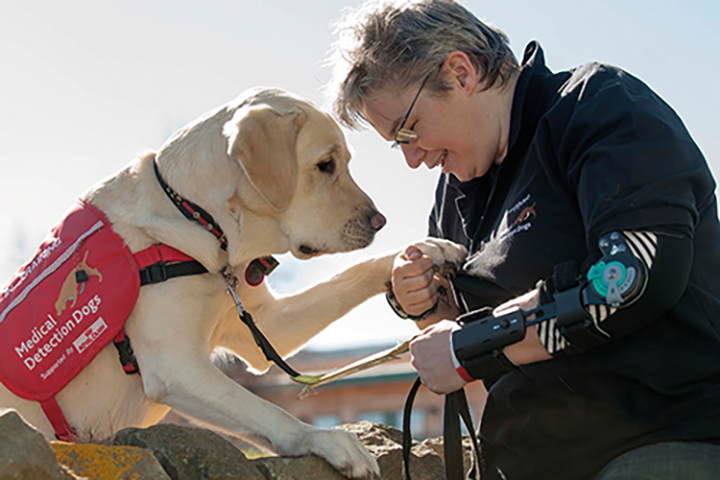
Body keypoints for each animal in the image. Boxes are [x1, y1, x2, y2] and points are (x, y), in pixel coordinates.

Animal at [0, 87, 466, 476]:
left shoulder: (264, 326)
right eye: (325, 165)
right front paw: (325, 439)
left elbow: (350, 274)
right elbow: (267, 410)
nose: (379, 220)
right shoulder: (175, 366)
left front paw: (425, 249)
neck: (201, 221)